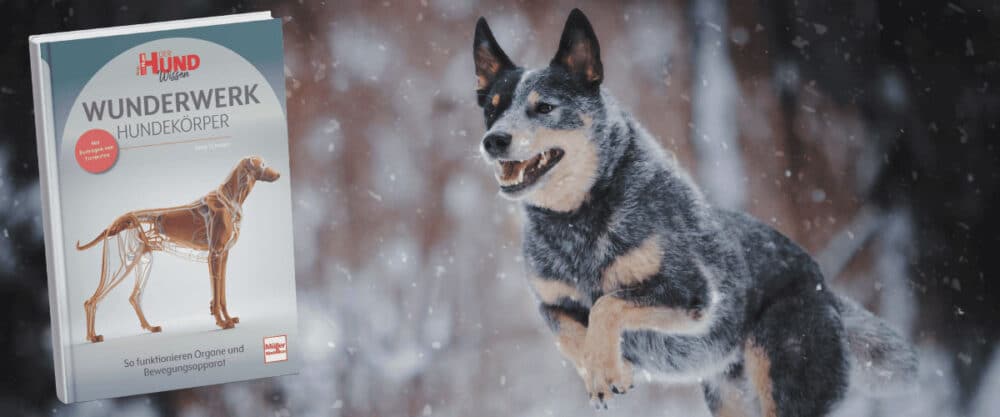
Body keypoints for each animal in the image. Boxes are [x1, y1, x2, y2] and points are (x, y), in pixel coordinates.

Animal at [75, 155, 280, 342]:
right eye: (263, 164)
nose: (279, 174)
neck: (229, 199)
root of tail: (115, 222)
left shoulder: (223, 256)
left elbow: (221, 296)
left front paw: (228, 319)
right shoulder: (214, 255)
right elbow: (216, 295)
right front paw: (222, 322)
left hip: (143, 261)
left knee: (134, 297)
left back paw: (150, 327)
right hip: (121, 264)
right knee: (91, 301)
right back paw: (92, 337)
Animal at [472, 8, 916, 414]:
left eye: (544, 107)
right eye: (492, 108)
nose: (493, 140)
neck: (577, 218)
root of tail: (825, 287)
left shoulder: (692, 293)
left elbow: (606, 304)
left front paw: (606, 366)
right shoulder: (550, 302)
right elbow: (566, 331)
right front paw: (603, 370)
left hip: (786, 378)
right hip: (729, 396)